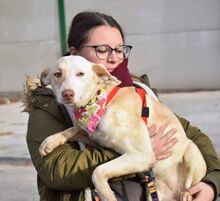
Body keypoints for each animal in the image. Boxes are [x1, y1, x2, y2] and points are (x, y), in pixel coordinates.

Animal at [39, 55, 206, 201]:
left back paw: (186, 194)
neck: (100, 102)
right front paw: (50, 142)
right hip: (152, 193)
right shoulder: (95, 138)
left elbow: (97, 171)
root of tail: (173, 193)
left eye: (80, 74)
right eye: (57, 74)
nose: (67, 94)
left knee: (188, 187)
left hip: (192, 153)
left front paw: (108, 196)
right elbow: (73, 130)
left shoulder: (141, 154)